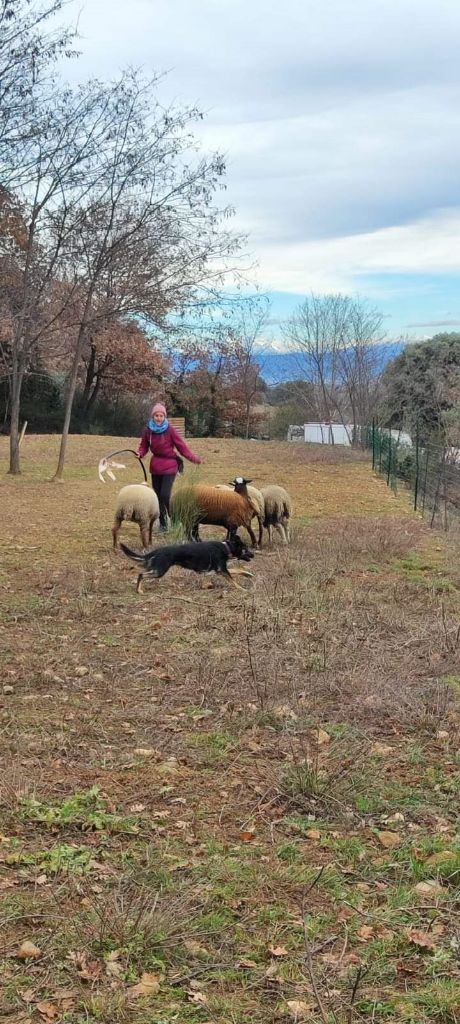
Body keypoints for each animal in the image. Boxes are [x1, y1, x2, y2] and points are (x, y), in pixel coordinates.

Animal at [119, 532, 253, 598]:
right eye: (246, 549)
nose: (253, 555)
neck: (226, 548)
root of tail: (158, 551)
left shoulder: (217, 570)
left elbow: (236, 570)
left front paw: (248, 574)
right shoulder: (221, 570)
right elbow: (233, 580)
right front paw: (243, 589)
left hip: (157, 570)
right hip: (159, 571)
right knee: (141, 574)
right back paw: (139, 590)